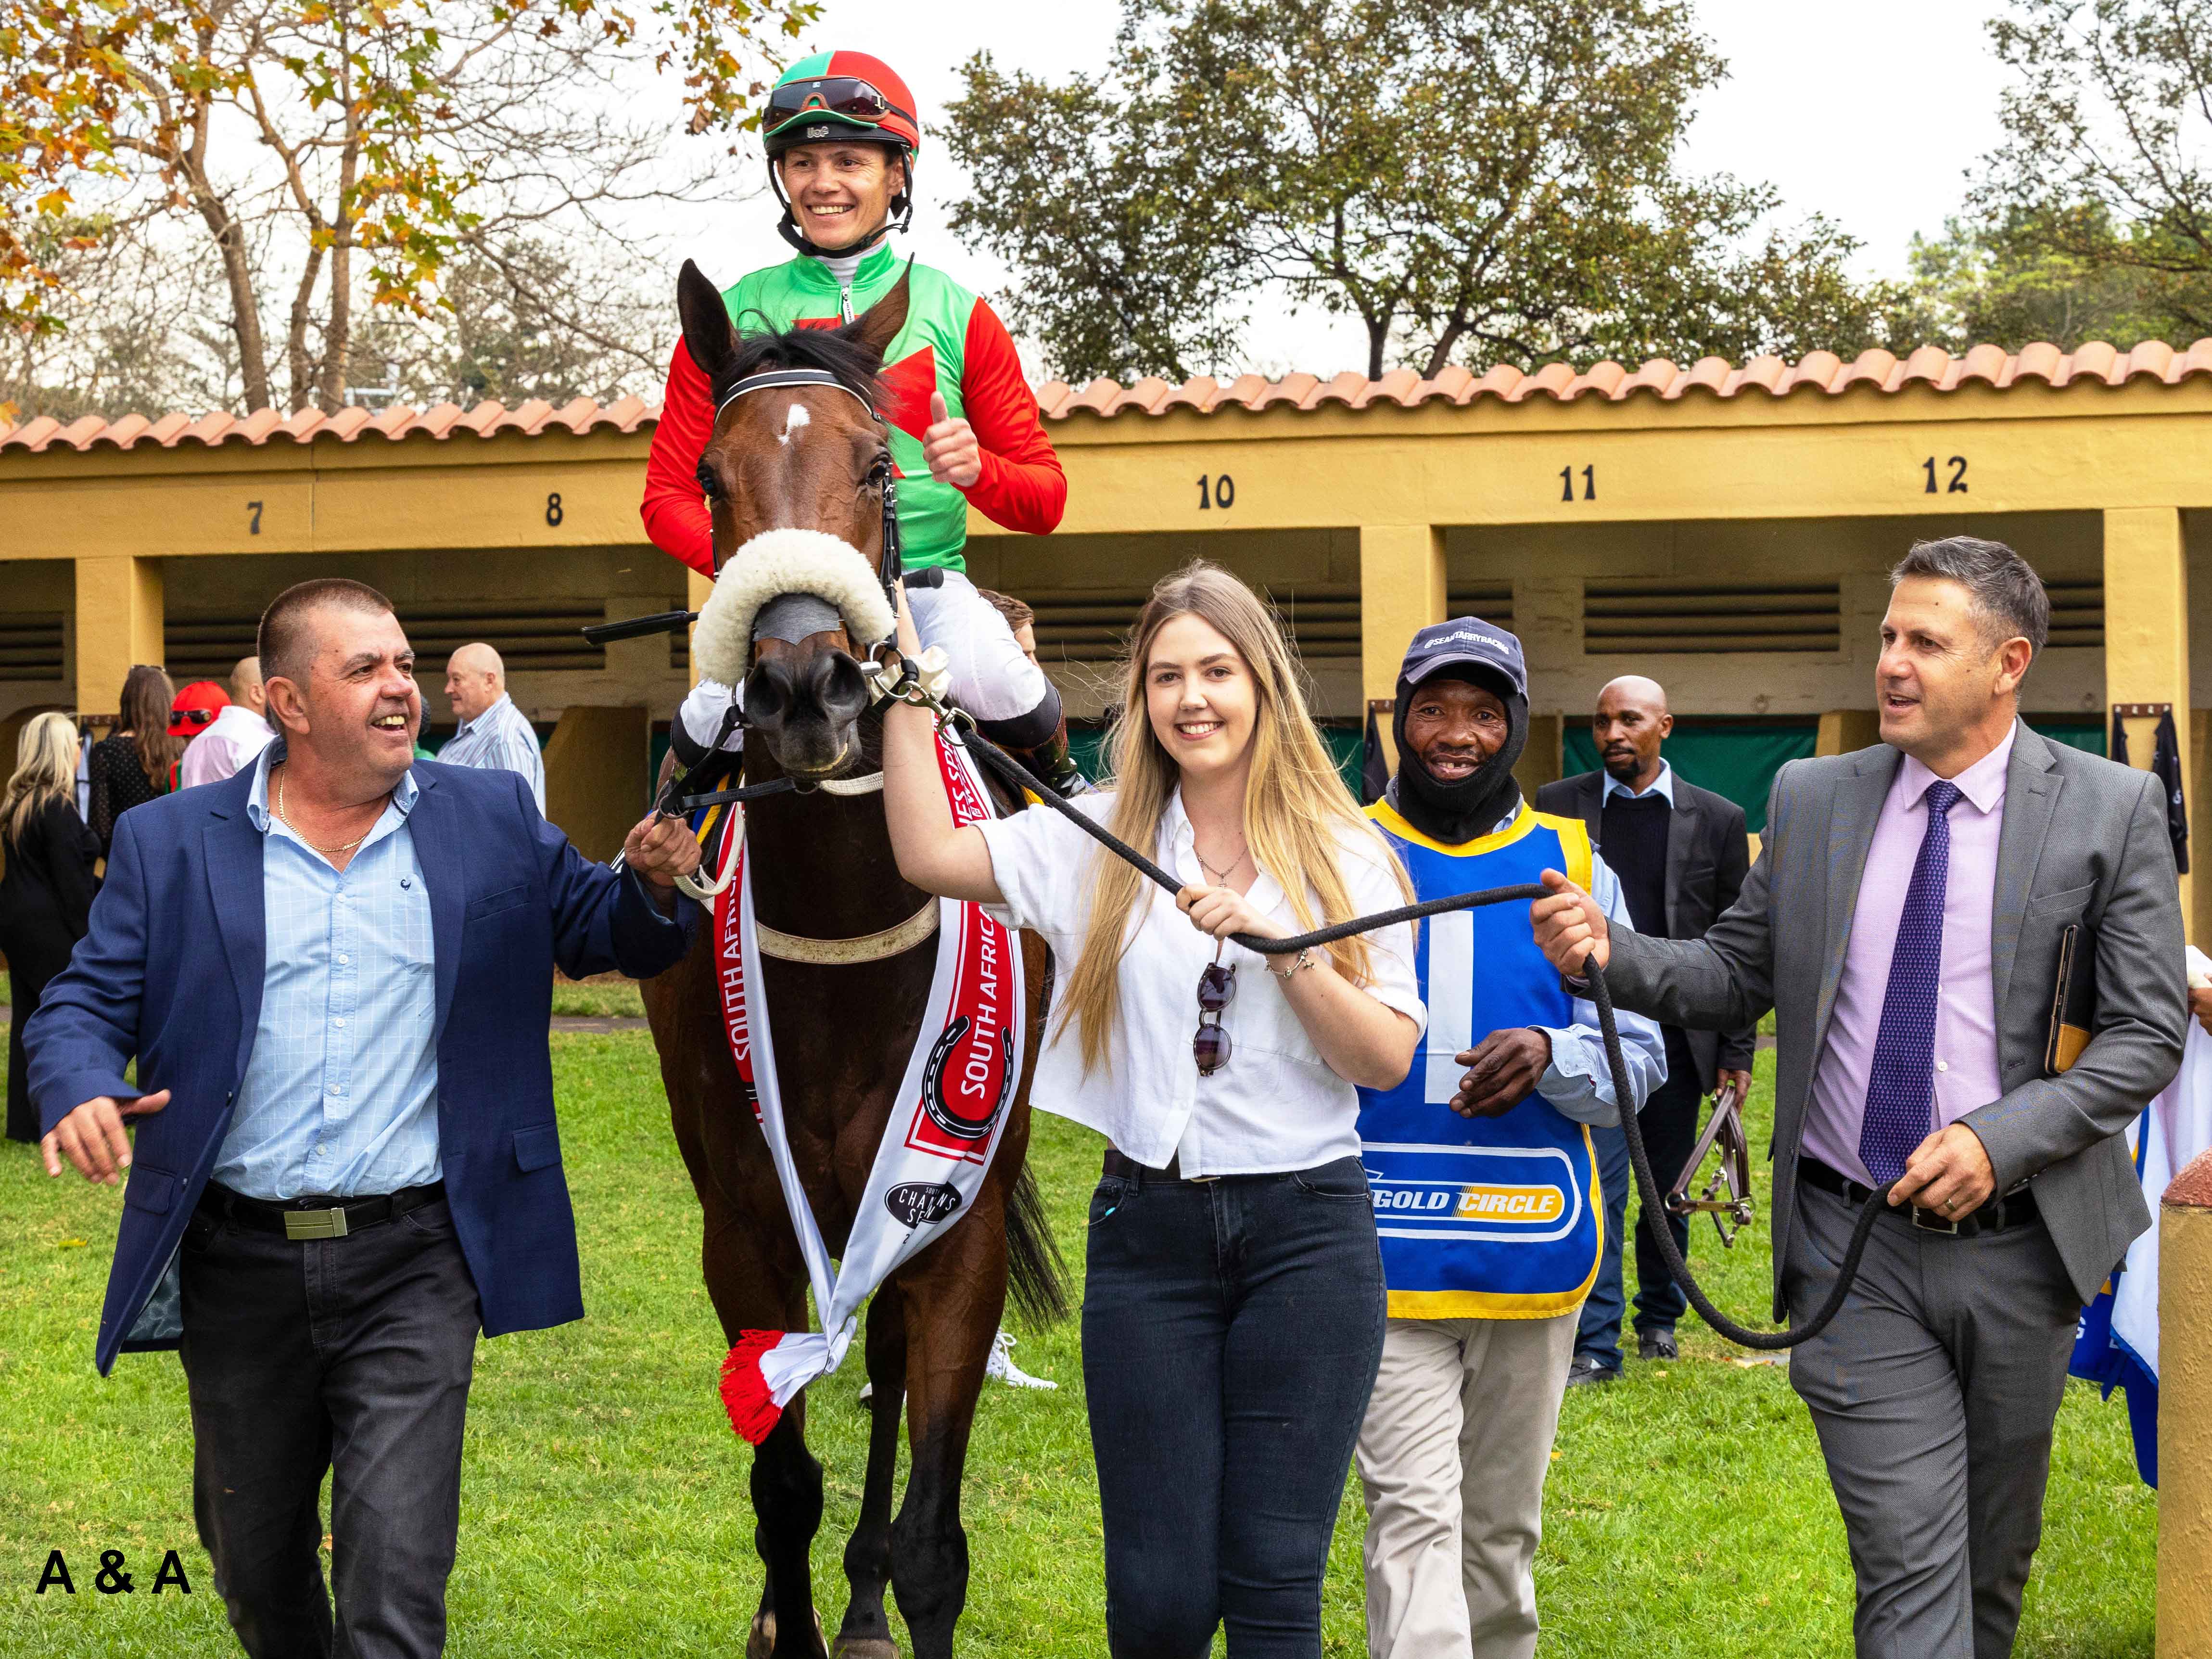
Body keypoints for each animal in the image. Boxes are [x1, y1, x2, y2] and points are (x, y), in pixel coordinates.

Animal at [640, 260, 1064, 1659]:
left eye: (880, 465)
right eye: (709, 476)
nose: (802, 686)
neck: (838, 936)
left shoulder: (953, 1218)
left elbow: (933, 1535)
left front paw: (884, 1589)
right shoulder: (743, 1223)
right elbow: (781, 1485)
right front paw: (789, 1614)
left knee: (876, 1370)